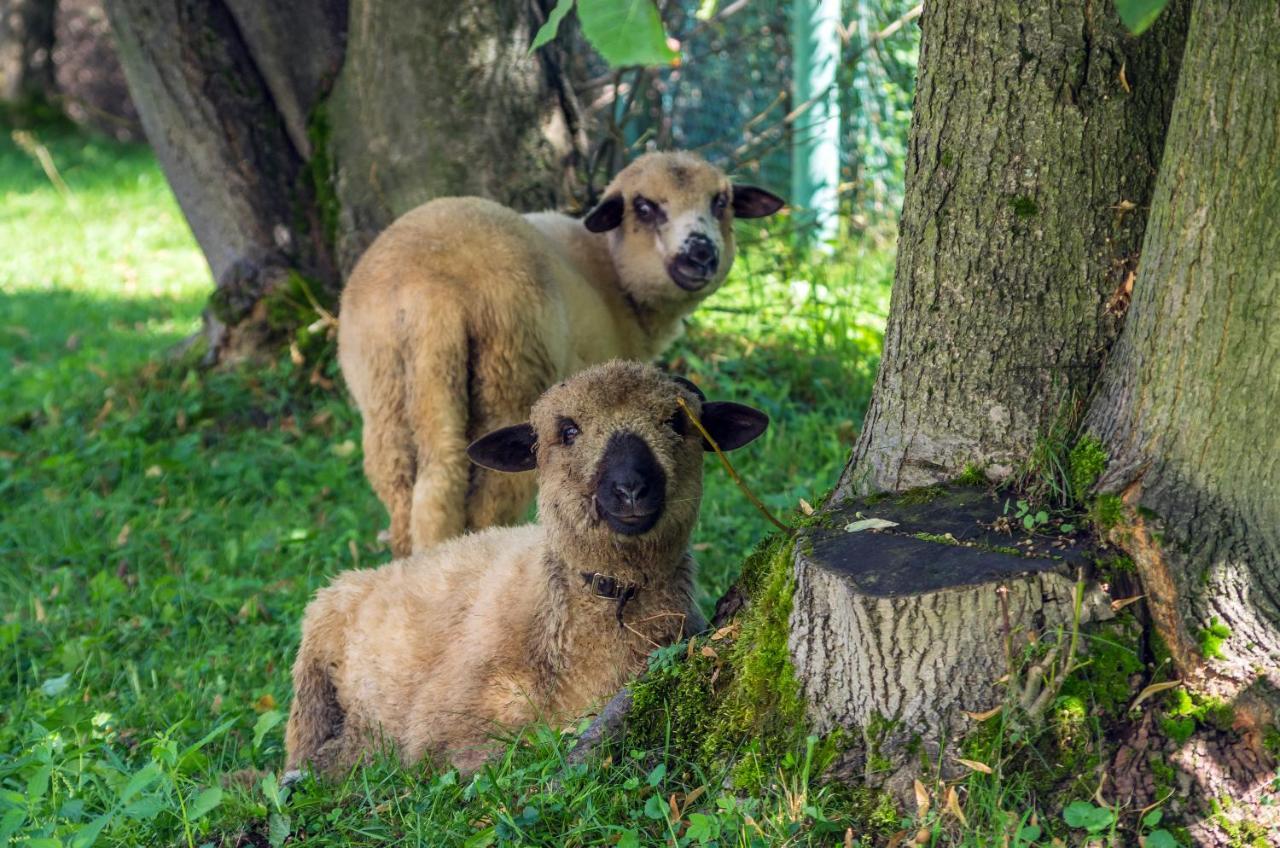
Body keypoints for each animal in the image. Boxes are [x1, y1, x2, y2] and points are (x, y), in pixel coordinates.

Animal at [335, 153, 783, 558]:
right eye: (644, 206)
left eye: (720, 201)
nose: (700, 254)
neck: (612, 275)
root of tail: (428, 290)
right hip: (509, 375)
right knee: (484, 500)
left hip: (386, 390)